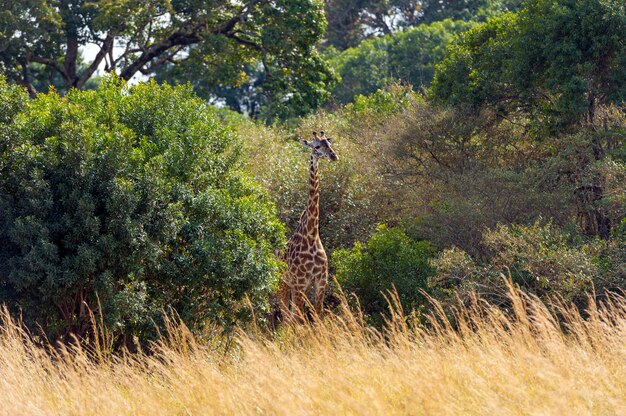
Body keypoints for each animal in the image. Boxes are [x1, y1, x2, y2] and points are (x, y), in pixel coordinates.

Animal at [278, 132, 336, 324]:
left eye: (329, 144)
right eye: (316, 146)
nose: (334, 156)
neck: (311, 234)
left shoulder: (321, 282)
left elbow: (319, 316)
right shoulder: (301, 282)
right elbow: (300, 319)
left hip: (291, 286)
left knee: (289, 315)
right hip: (282, 283)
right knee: (286, 315)